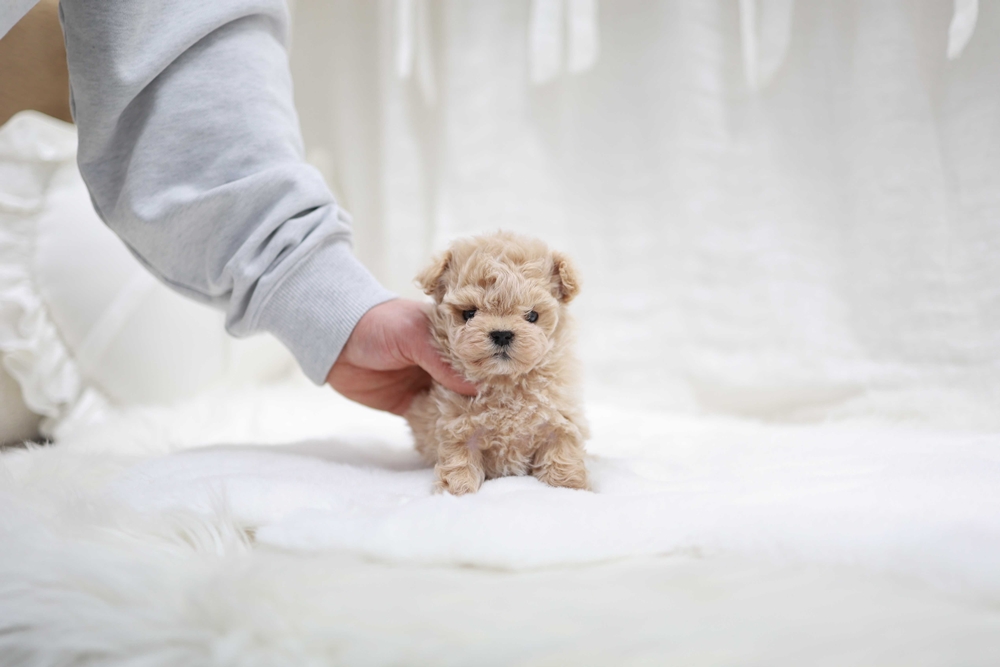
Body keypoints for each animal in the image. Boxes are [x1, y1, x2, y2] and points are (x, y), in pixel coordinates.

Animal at [405, 232, 590, 495]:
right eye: (469, 314)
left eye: (532, 315)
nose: (502, 334)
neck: (505, 382)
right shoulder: (457, 425)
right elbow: (459, 460)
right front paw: (456, 492)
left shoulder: (559, 420)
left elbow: (561, 453)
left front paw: (569, 488)